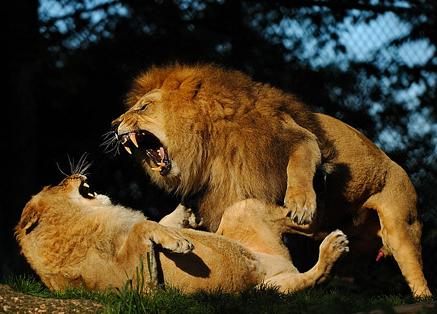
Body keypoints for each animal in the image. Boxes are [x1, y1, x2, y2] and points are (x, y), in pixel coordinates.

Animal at [15, 173, 348, 294]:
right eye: (58, 184)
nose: (77, 174)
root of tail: (282, 265)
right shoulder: (135, 289)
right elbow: (141, 227)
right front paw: (179, 243)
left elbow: (155, 220)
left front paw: (184, 215)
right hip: (269, 290)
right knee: (313, 277)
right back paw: (334, 246)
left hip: (242, 210)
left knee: (302, 221)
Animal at [110, 63, 430, 296]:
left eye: (143, 107)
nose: (114, 124)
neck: (213, 144)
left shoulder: (296, 137)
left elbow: (299, 166)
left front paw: (301, 203)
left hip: (401, 227)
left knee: (416, 272)